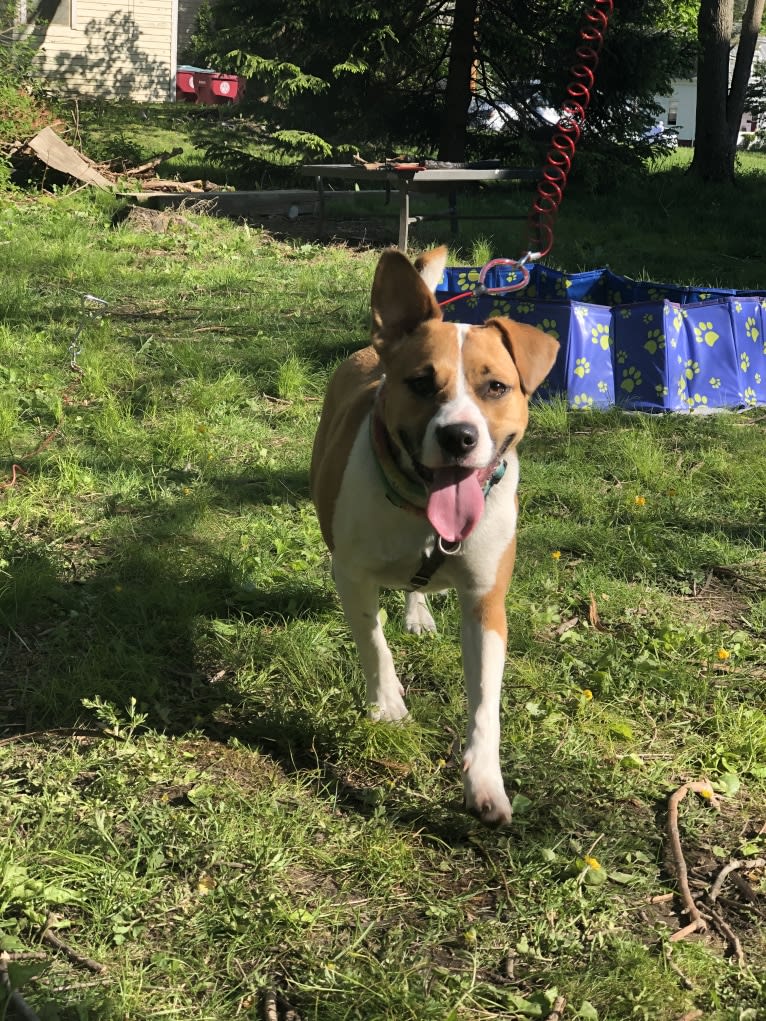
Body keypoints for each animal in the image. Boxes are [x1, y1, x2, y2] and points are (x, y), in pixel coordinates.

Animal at [310, 242, 559, 824]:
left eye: (497, 387)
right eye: (422, 382)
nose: (459, 436)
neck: (423, 511)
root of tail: (372, 348)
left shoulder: (486, 601)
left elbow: (486, 702)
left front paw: (485, 782)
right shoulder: (351, 573)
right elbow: (373, 641)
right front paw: (388, 704)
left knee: (415, 588)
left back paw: (418, 612)